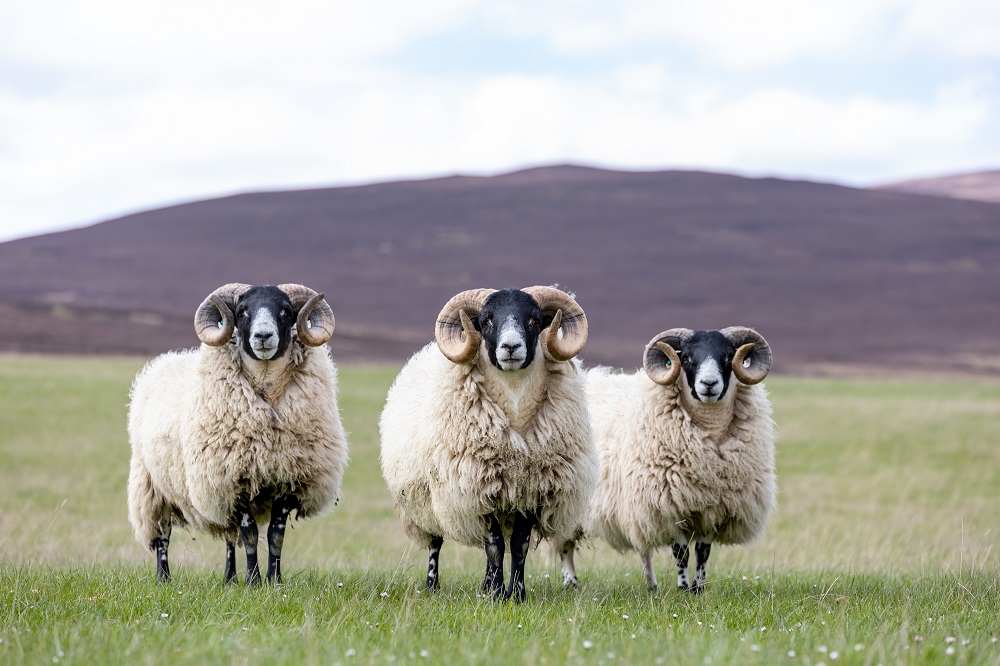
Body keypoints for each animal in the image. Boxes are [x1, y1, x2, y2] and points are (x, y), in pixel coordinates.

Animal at [127, 283, 349, 584]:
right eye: (242, 312)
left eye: (286, 311)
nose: (263, 336)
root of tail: (163, 362)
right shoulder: (234, 481)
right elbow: (251, 533)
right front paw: (253, 581)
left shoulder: (288, 480)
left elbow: (275, 536)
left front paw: (274, 580)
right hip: (152, 487)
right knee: (162, 536)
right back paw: (164, 578)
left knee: (230, 537)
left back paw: (229, 578)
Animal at [379, 286, 598, 602]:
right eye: (485, 321)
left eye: (534, 319)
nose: (511, 347)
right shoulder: (478, 489)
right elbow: (494, 544)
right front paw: (496, 595)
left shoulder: (531, 492)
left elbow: (517, 545)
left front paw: (516, 595)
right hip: (427, 500)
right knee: (436, 542)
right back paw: (433, 585)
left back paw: (484, 585)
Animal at [556, 327, 775, 593]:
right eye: (687, 358)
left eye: (728, 357)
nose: (709, 384)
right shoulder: (667, 506)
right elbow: (681, 553)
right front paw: (683, 588)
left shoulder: (712, 508)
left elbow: (703, 552)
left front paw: (698, 588)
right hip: (568, 500)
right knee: (564, 545)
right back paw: (570, 582)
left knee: (644, 550)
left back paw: (651, 584)